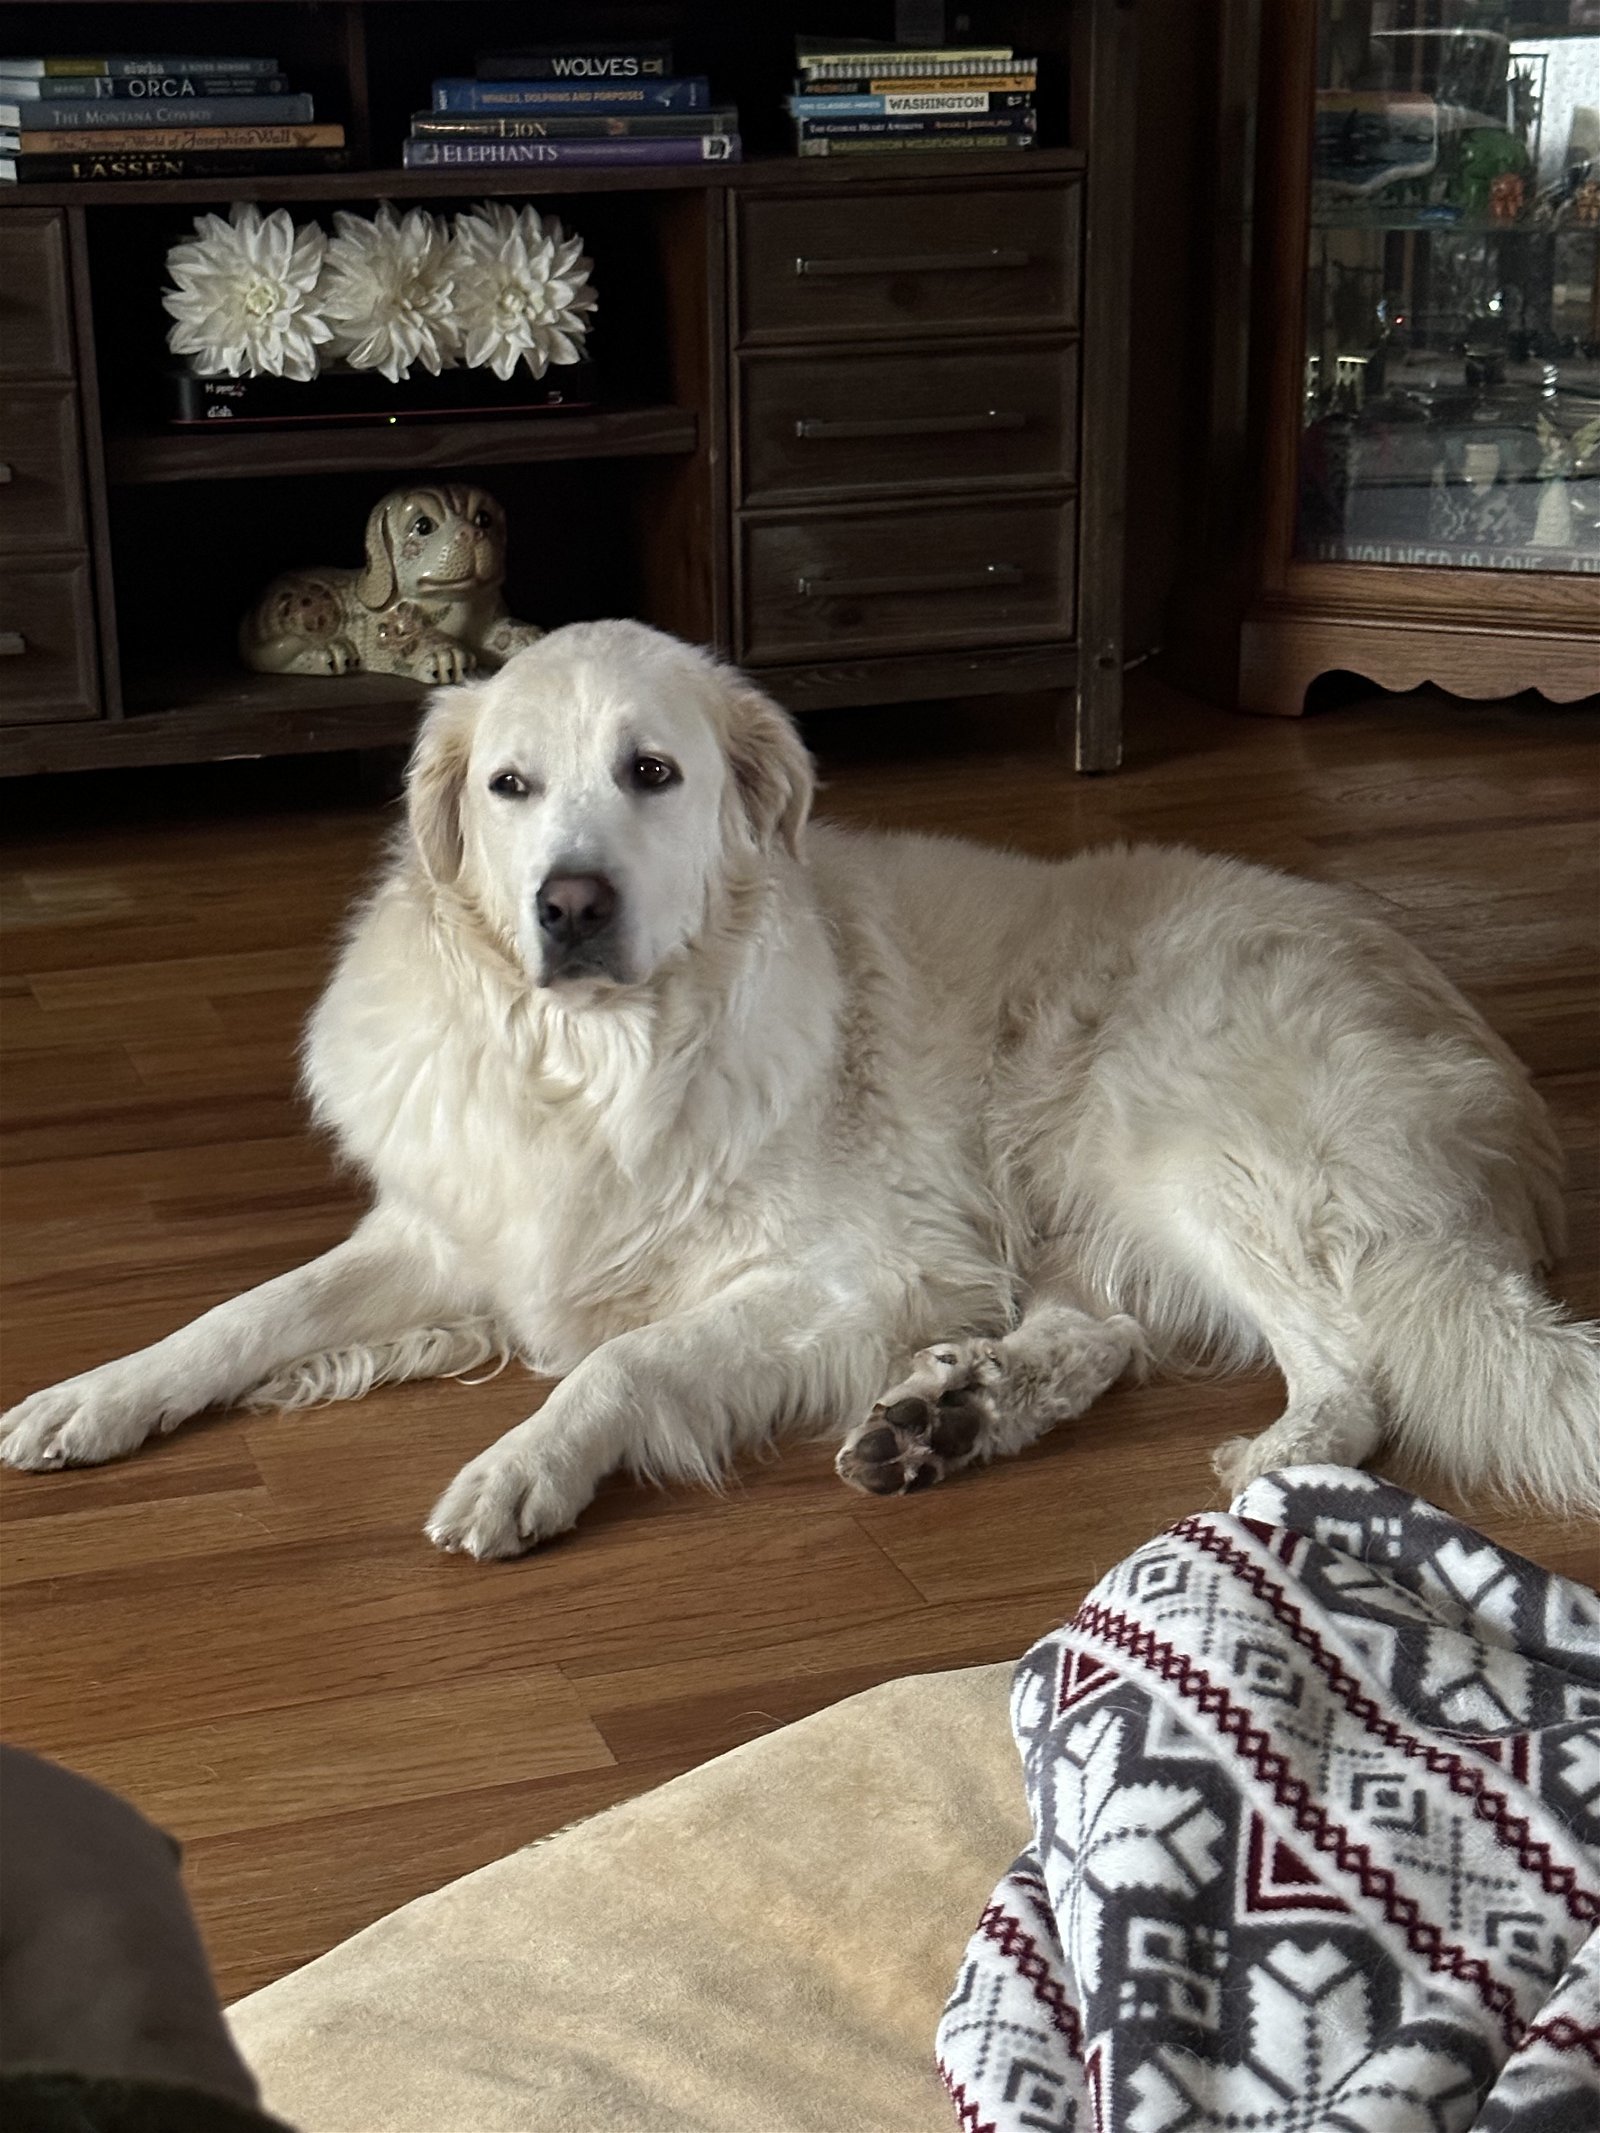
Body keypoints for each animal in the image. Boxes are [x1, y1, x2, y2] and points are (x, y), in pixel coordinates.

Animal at [3, 618, 1600, 1552]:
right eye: (511, 786)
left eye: (653, 772)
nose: (569, 904)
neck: (602, 1062)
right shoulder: (458, 1227)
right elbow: (245, 1314)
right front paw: (94, 1396)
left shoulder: (858, 1273)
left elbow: (622, 1360)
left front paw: (529, 1465)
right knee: (1101, 1331)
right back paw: (950, 1415)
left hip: (1184, 1140)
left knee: (1353, 1377)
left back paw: (1261, 1457)